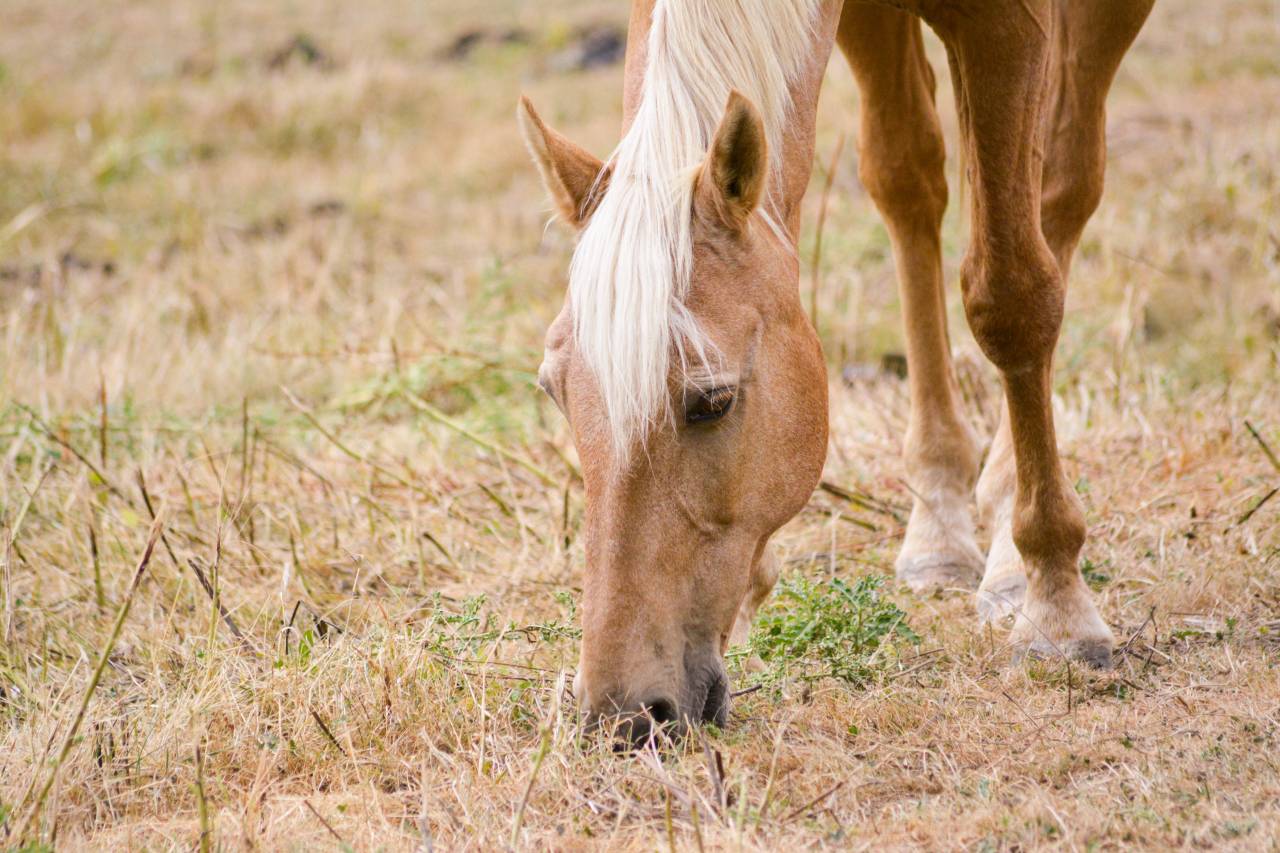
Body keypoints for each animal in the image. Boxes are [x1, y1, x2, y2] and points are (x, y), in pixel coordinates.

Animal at [518, 0, 1154, 742]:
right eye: (555, 393)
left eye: (713, 401)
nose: (622, 718)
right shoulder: (866, 21)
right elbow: (905, 182)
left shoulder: (1011, 28)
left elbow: (1012, 296)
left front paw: (1058, 607)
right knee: (918, 184)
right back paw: (941, 523)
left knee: (1062, 186)